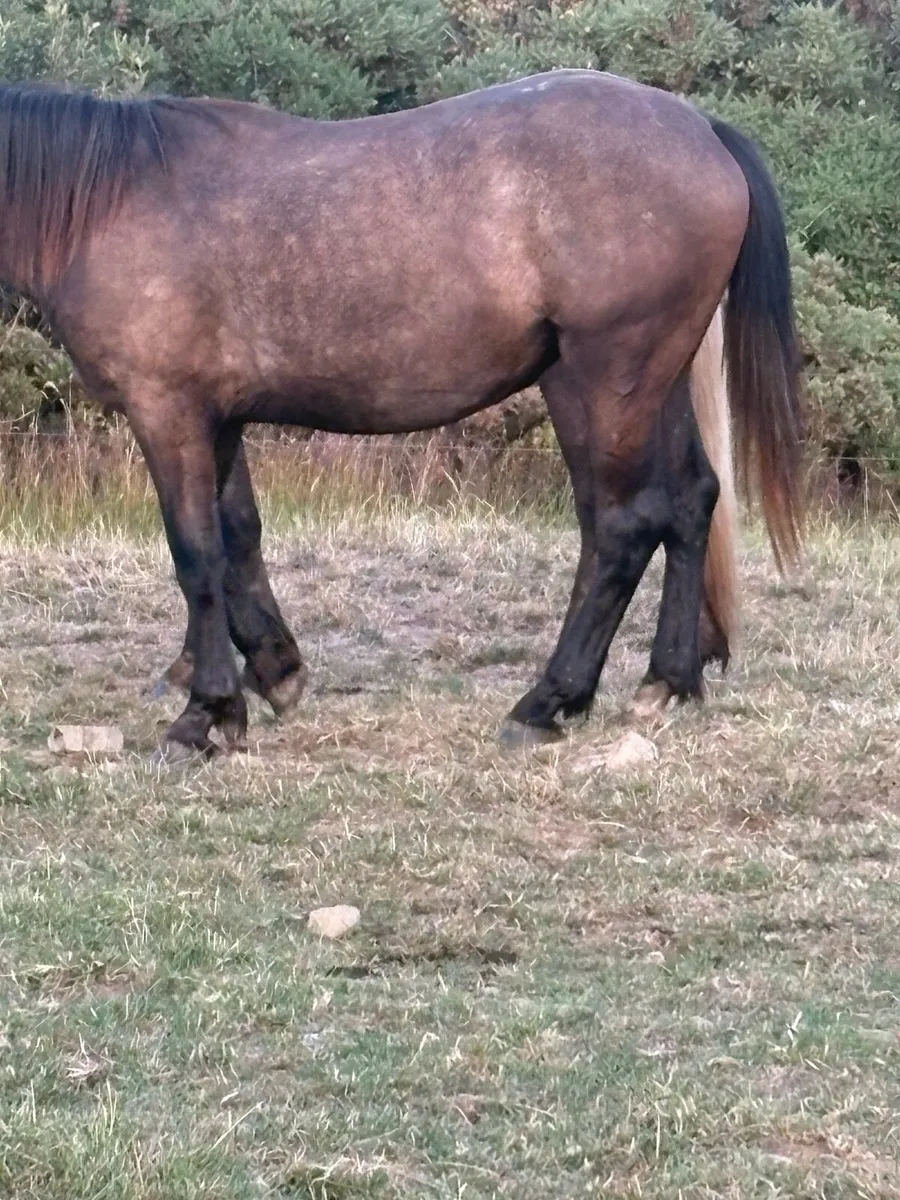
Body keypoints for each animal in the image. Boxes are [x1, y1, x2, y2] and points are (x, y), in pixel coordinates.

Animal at [0, 70, 802, 760]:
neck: (109, 204)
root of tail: (701, 130)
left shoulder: (167, 413)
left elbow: (195, 556)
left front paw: (205, 715)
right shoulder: (217, 420)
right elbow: (238, 542)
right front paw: (273, 672)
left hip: (601, 381)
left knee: (623, 527)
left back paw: (547, 702)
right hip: (652, 382)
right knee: (691, 502)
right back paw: (669, 680)